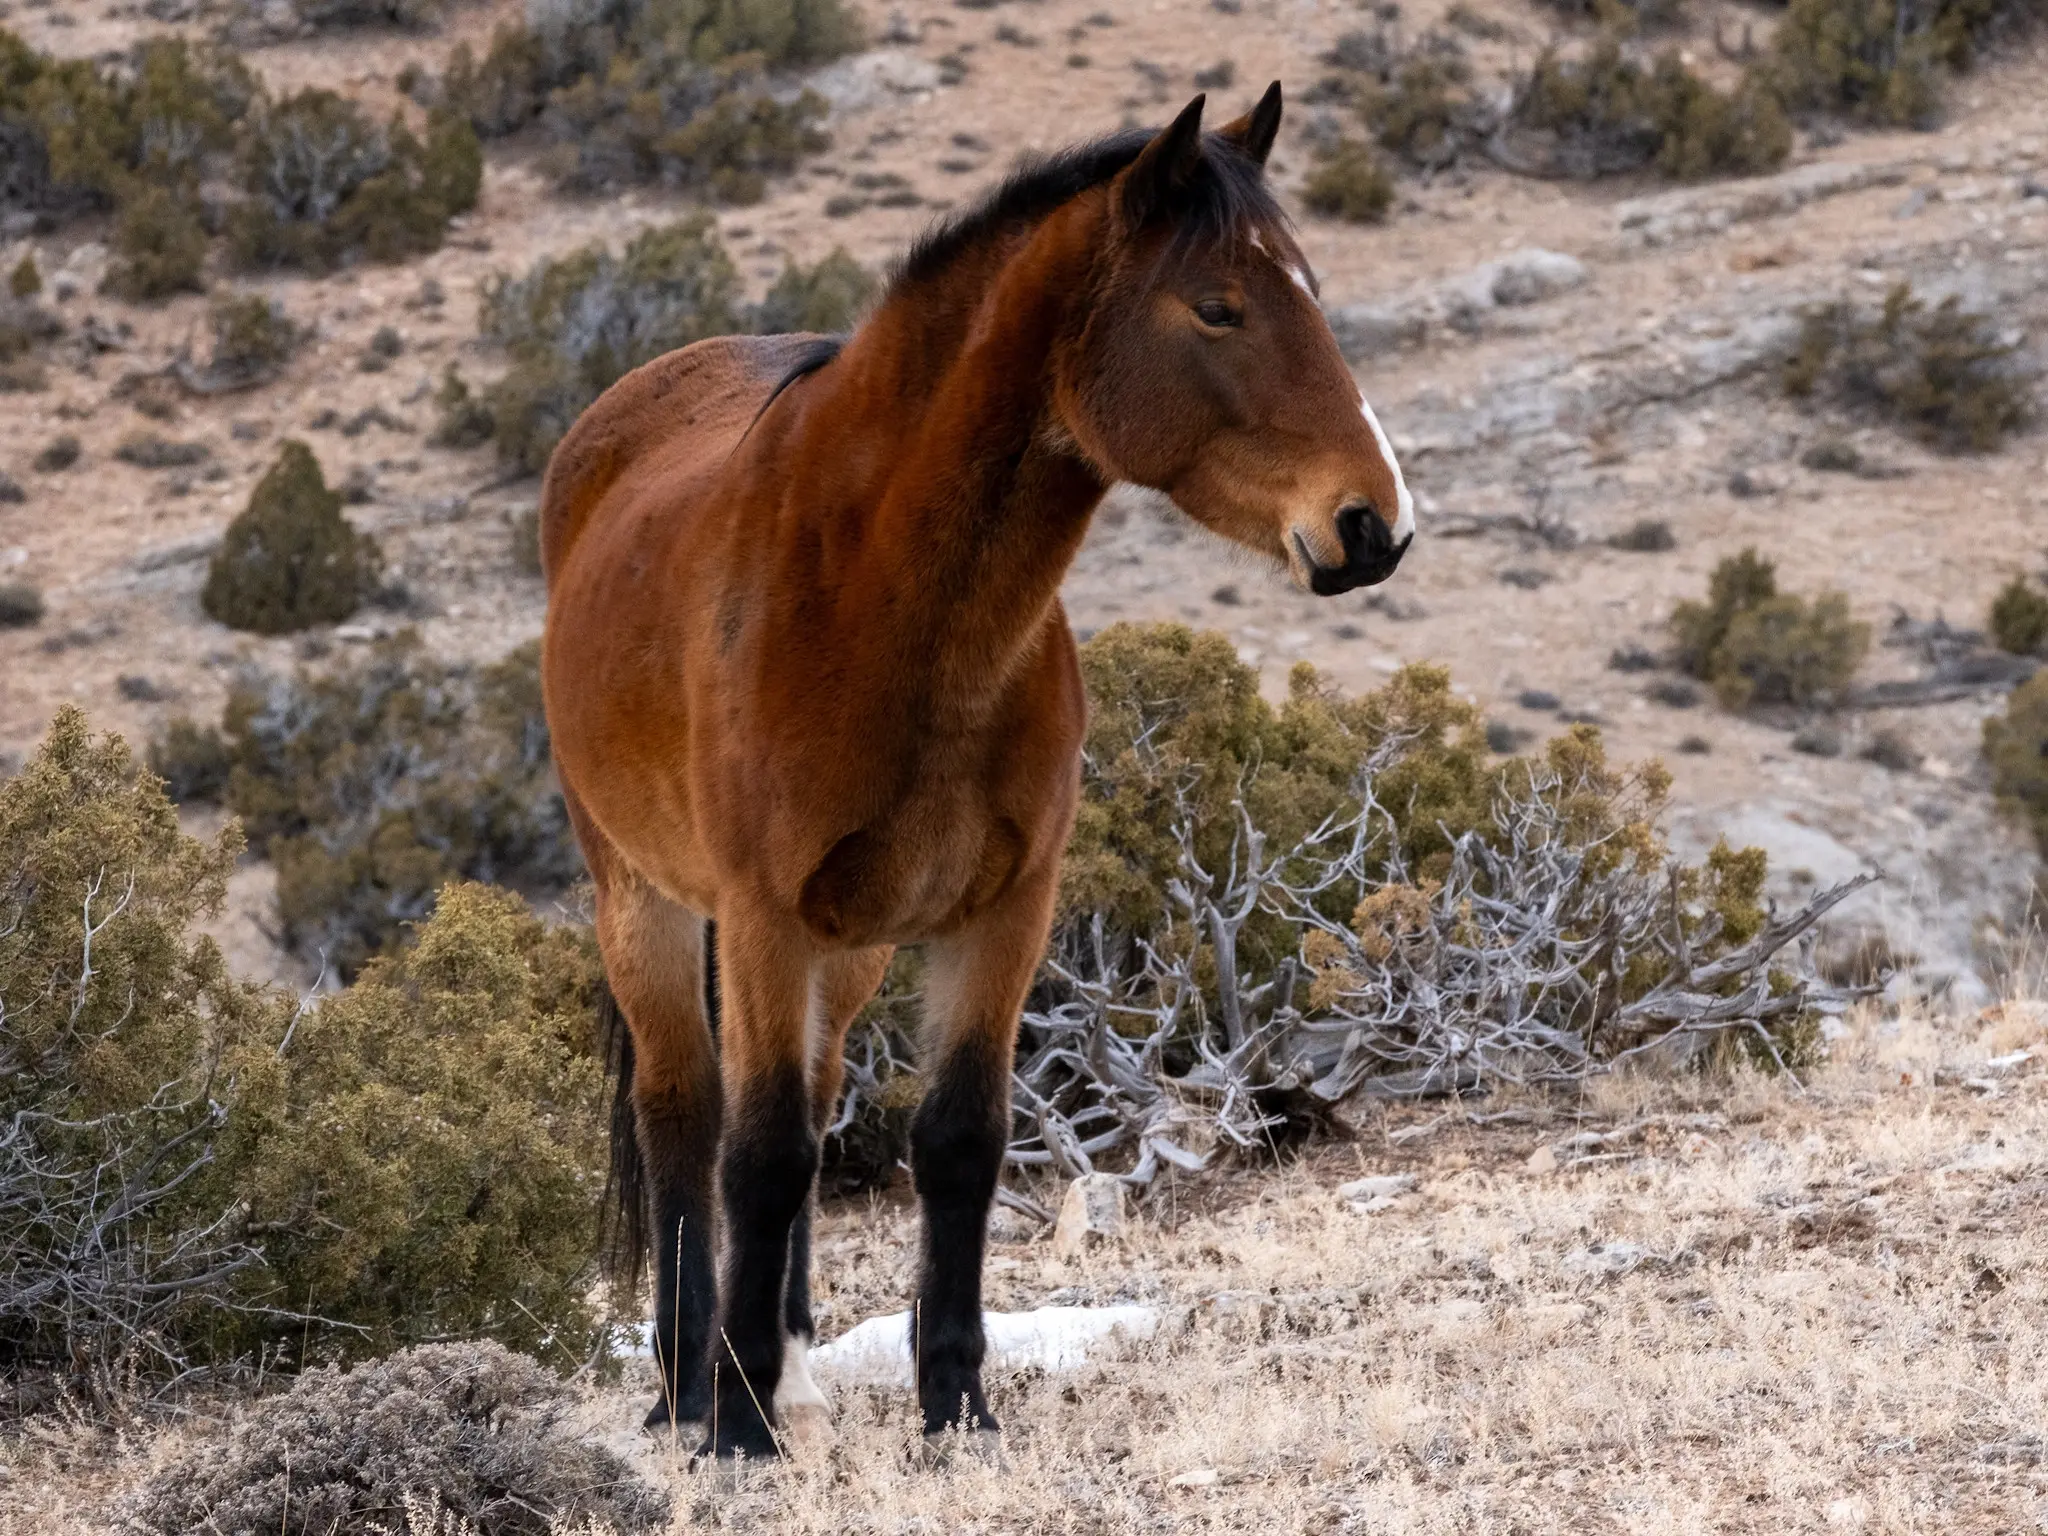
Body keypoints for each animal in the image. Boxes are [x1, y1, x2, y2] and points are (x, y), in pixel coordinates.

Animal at [536, 87, 1417, 1466]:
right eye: (1217, 306)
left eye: (1309, 291)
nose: (1372, 524)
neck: (879, 597)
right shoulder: (762, 914)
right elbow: (759, 1151)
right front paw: (739, 1429)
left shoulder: (1003, 909)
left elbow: (955, 1141)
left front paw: (954, 1405)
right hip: (644, 897)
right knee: (682, 1120)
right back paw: (688, 1386)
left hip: (848, 949)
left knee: (815, 1097)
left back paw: (788, 1359)